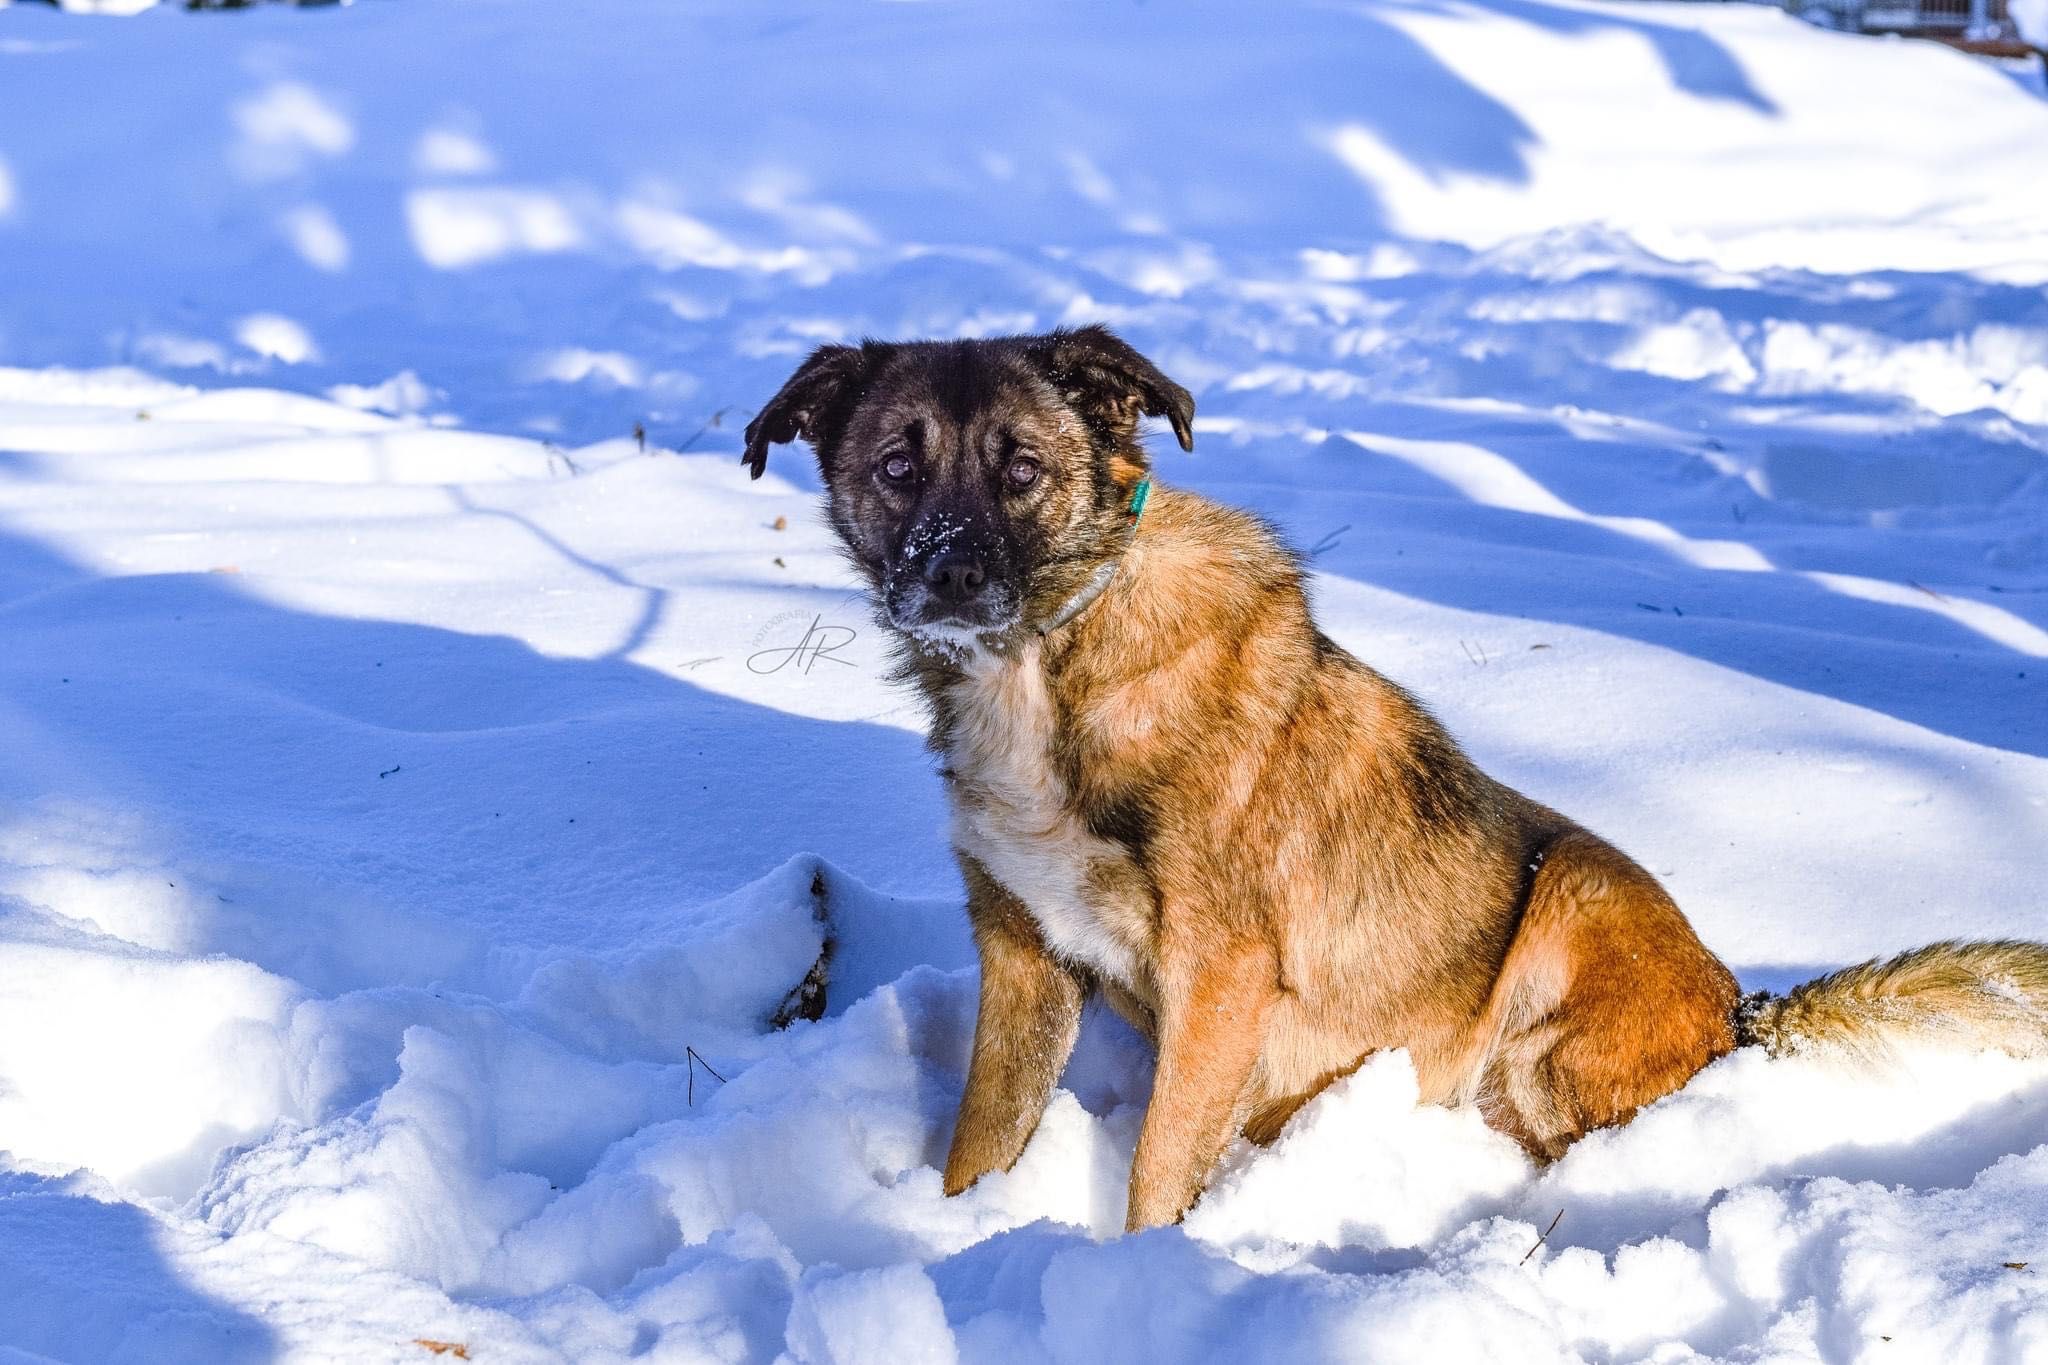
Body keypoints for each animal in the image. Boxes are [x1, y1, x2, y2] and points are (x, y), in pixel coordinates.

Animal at [745, 325, 2048, 1236]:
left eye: (1020, 469)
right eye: (896, 469)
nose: (950, 578)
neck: (1054, 662)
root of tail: (1737, 1014)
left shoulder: (1217, 974)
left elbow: (1157, 1172)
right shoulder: (1024, 959)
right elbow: (975, 1150)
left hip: (1566, 906)